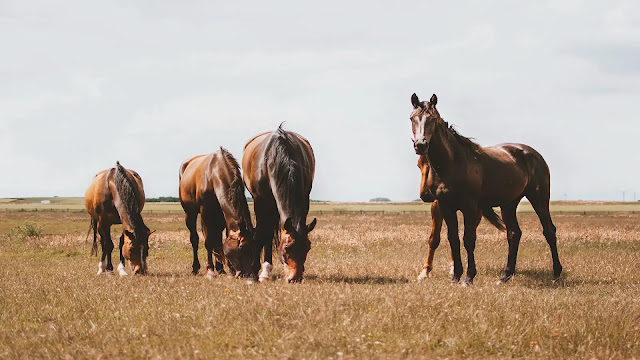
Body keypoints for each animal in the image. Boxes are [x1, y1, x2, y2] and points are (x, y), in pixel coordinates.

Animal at [180, 148, 255, 280]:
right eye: (241, 247)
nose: (248, 274)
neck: (213, 175)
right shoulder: (205, 211)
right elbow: (208, 241)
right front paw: (210, 270)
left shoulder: (222, 215)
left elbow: (221, 239)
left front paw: (227, 268)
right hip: (190, 214)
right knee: (195, 239)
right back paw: (196, 268)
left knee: (217, 238)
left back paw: (220, 268)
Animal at [241, 125, 316, 282]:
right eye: (287, 247)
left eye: (308, 248)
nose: (295, 278)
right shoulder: (261, 201)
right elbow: (261, 234)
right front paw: (253, 274)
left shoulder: (304, 198)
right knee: (267, 232)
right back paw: (264, 272)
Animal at [410, 94, 560, 286]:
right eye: (412, 118)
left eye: (433, 119)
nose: (420, 145)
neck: (453, 163)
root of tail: (534, 154)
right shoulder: (445, 206)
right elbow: (453, 239)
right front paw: (456, 277)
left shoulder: (470, 207)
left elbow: (468, 239)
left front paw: (468, 278)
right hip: (509, 204)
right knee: (514, 233)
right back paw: (505, 276)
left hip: (539, 199)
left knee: (549, 231)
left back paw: (557, 273)